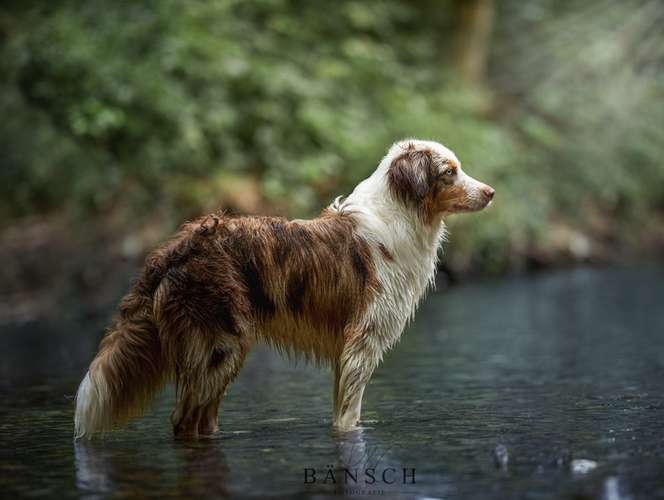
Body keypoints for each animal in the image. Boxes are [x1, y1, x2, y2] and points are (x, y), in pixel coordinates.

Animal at [75, 140, 496, 438]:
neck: (402, 214)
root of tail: (180, 245)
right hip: (220, 346)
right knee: (184, 420)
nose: (491, 191)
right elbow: (350, 417)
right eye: (449, 171)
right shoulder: (361, 342)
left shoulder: (345, 353)